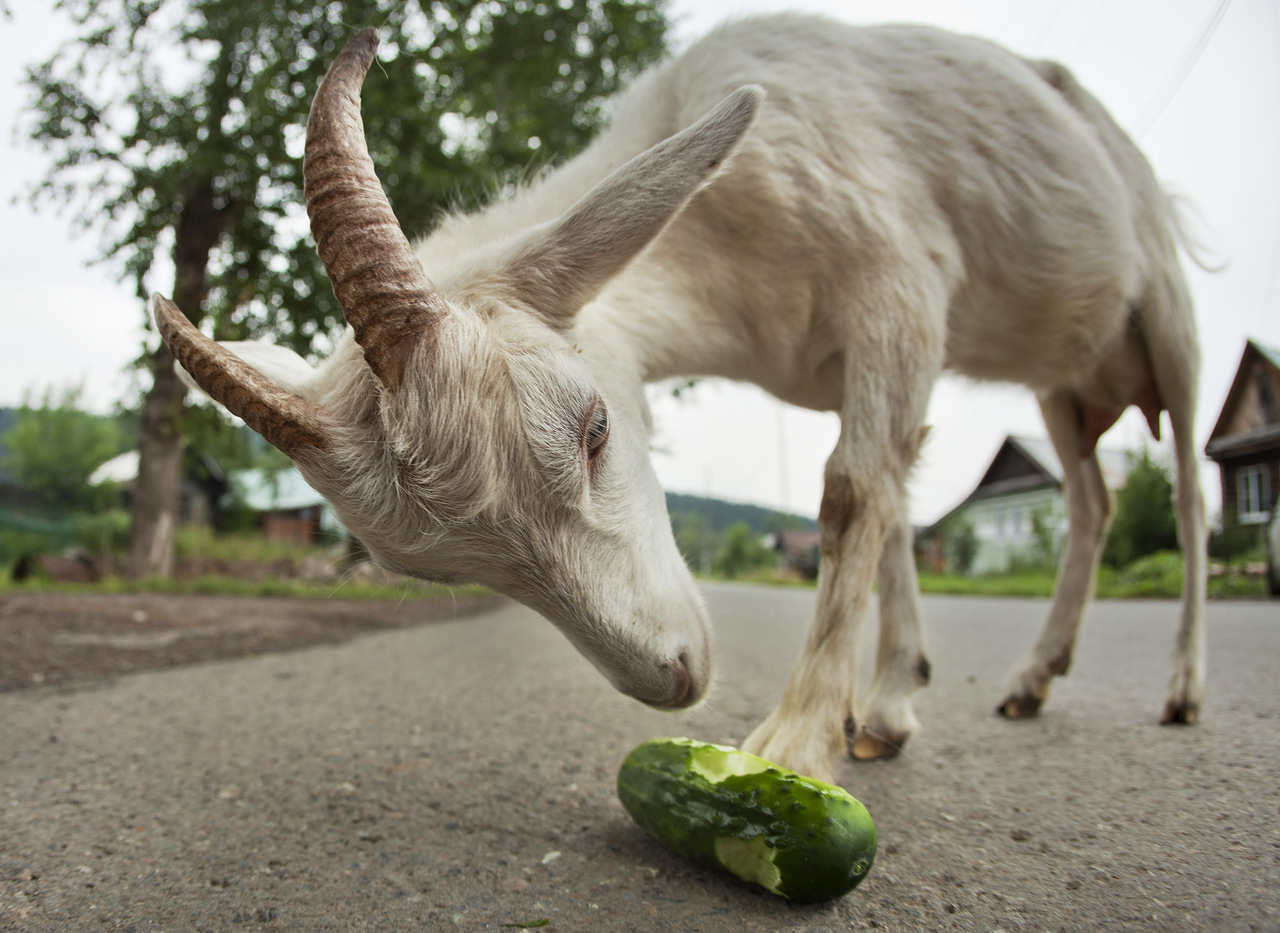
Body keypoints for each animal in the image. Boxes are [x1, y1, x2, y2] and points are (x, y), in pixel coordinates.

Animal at [154, 14, 1203, 778]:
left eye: (594, 428)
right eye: (441, 567)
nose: (674, 678)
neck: (733, 238)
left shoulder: (899, 290)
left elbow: (854, 494)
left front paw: (799, 738)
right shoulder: (844, 364)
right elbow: (896, 504)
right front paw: (889, 706)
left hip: (1166, 313)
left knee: (1189, 484)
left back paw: (1183, 691)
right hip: (1069, 382)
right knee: (1094, 496)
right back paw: (1034, 676)